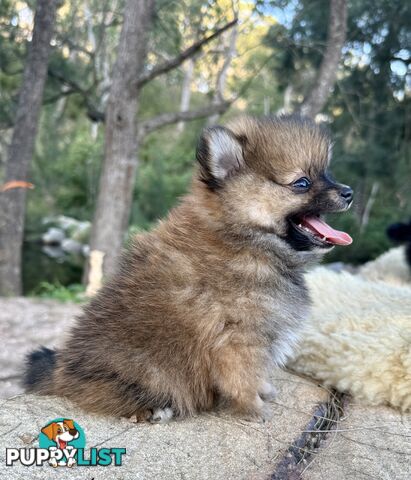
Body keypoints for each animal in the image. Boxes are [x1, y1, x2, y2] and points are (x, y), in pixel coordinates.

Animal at [25, 114, 354, 422]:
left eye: (327, 173)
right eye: (302, 183)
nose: (349, 192)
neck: (244, 240)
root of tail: (61, 371)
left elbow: (258, 373)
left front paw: (265, 392)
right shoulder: (238, 340)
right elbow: (244, 379)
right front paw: (254, 408)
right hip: (148, 369)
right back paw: (154, 410)